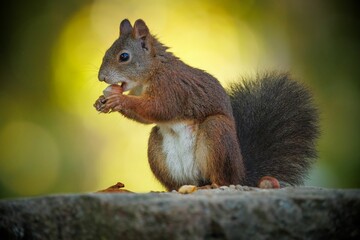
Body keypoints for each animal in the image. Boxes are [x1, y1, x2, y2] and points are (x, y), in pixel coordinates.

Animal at [94, 18, 320, 191]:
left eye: (124, 56)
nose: (101, 78)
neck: (154, 70)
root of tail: (241, 175)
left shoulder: (172, 88)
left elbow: (159, 108)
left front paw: (119, 99)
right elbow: (145, 117)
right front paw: (102, 101)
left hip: (216, 132)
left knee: (223, 180)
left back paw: (213, 185)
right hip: (158, 150)